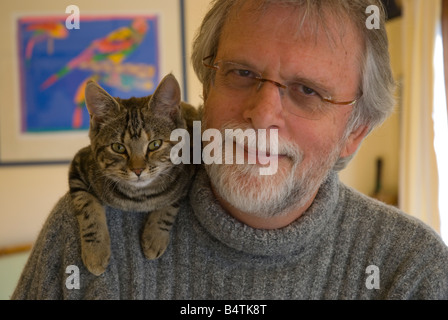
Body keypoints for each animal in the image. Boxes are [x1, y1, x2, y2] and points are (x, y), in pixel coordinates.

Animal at [69, 74, 197, 276]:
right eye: (118, 147)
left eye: (155, 144)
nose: (138, 170)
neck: (139, 198)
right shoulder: (79, 164)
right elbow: (87, 205)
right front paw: (96, 251)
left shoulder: (188, 173)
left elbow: (170, 205)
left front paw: (155, 236)